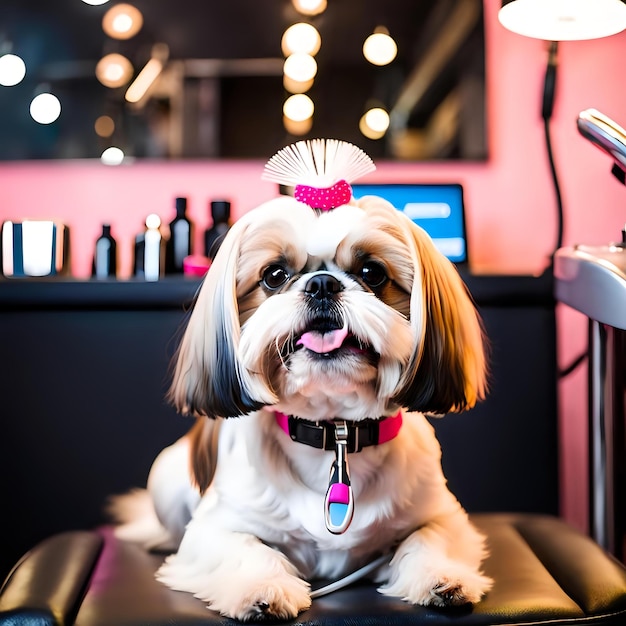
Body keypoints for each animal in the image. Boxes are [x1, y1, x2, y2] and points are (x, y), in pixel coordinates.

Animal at [113, 139, 492, 620]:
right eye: (275, 275)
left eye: (372, 272)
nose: (323, 284)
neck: (334, 435)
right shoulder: (214, 528)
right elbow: (248, 548)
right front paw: (262, 587)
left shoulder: (443, 515)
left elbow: (429, 537)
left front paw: (441, 577)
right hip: (166, 478)